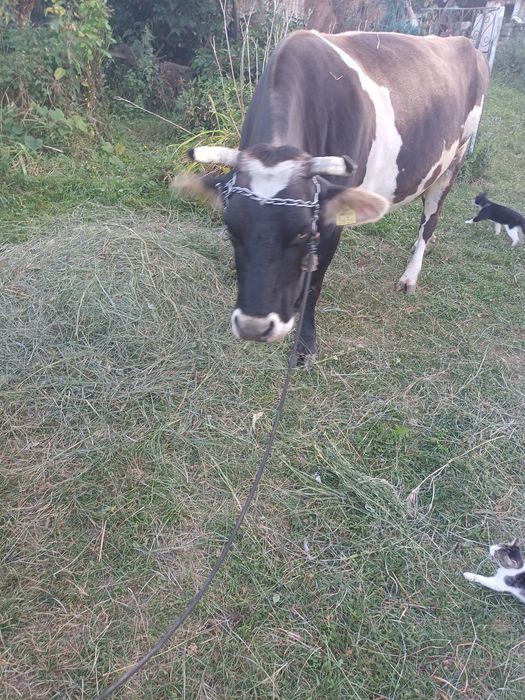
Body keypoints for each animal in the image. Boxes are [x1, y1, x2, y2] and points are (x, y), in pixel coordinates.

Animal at [174, 30, 489, 365]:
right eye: (231, 230)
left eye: (302, 233)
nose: (254, 327)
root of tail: (463, 41)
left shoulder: (330, 220)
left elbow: (315, 281)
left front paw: (305, 341)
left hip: (453, 161)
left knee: (430, 220)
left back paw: (410, 276)